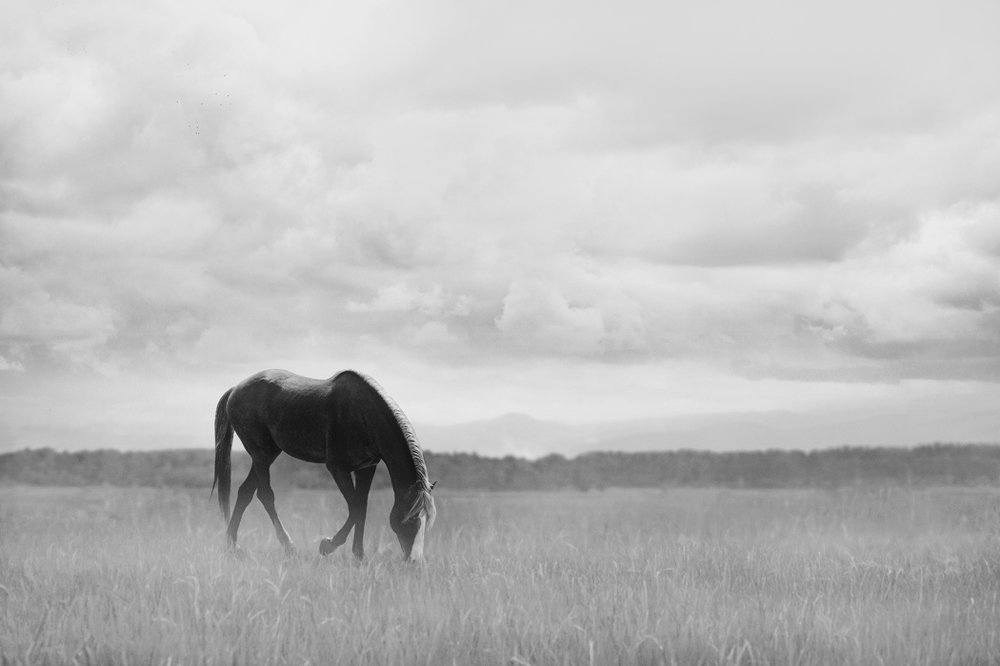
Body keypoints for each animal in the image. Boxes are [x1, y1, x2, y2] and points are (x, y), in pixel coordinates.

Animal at [211, 369, 437, 561]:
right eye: (410, 519)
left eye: (428, 521)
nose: (415, 561)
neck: (364, 415)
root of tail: (235, 390)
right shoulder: (338, 469)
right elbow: (355, 508)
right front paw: (328, 545)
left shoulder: (365, 468)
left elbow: (361, 507)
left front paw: (358, 556)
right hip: (261, 454)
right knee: (265, 495)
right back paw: (288, 546)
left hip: (267, 454)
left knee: (245, 492)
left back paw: (232, 545)